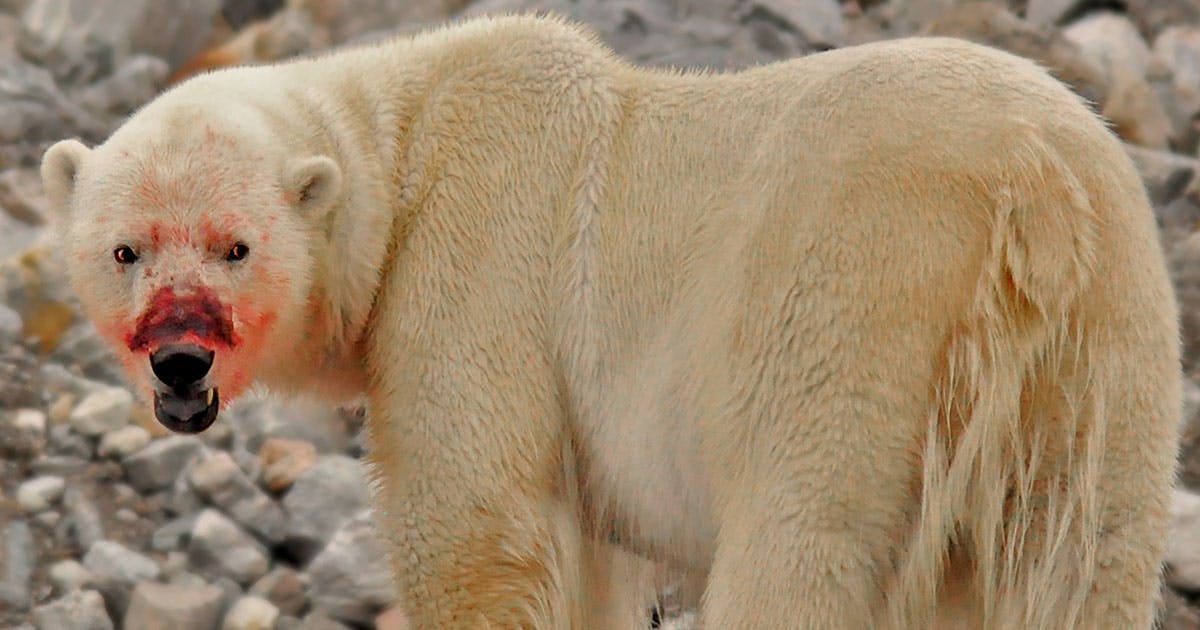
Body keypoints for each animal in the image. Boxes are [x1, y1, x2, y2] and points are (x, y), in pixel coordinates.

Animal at [39, 13, 1180, 628]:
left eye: (235, 245)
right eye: (126, 248)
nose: (181, 363)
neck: (406, 142)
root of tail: (1033, 195)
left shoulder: (477, 264)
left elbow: (475, 525)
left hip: (853, 307)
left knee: (802, 540)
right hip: (1109, 344)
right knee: (1088, 562)